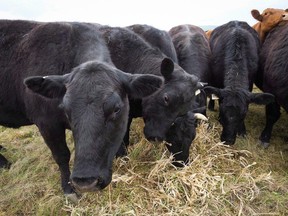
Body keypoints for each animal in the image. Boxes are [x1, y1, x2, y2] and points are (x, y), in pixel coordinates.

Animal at [0, 20, 162, 199]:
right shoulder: (46, 123)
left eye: (116, 109)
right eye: (65, 109)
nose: (86, 181)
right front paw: (68, 189)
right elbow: (62, 155)